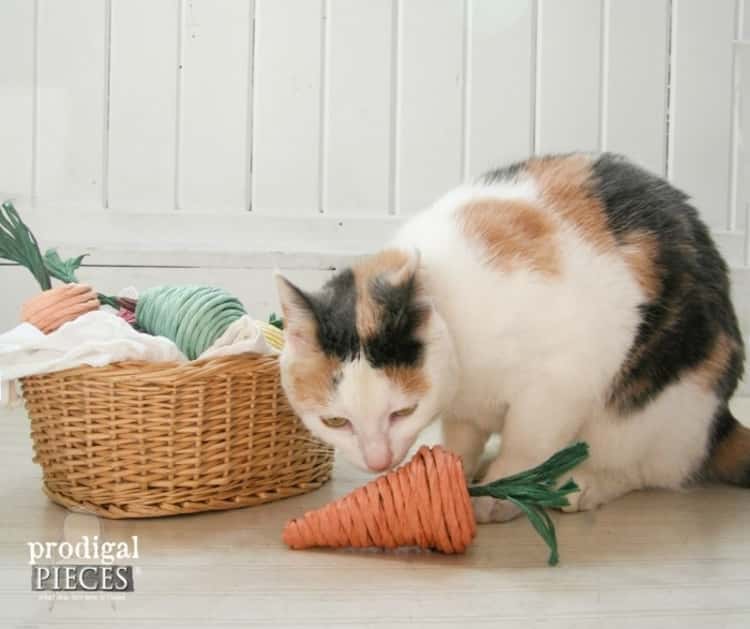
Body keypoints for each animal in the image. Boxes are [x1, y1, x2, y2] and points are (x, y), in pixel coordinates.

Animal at [276, 152, 748, 520]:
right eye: (335, 422)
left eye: (402, 413)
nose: (378, 461)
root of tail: (720, 419)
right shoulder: (463, 408)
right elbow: (463, 436)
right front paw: (454, 470)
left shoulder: (560, 379)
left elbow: (526, 440)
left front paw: (503, 489)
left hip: (657, 405)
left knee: (650, 467)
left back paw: (580, 483)